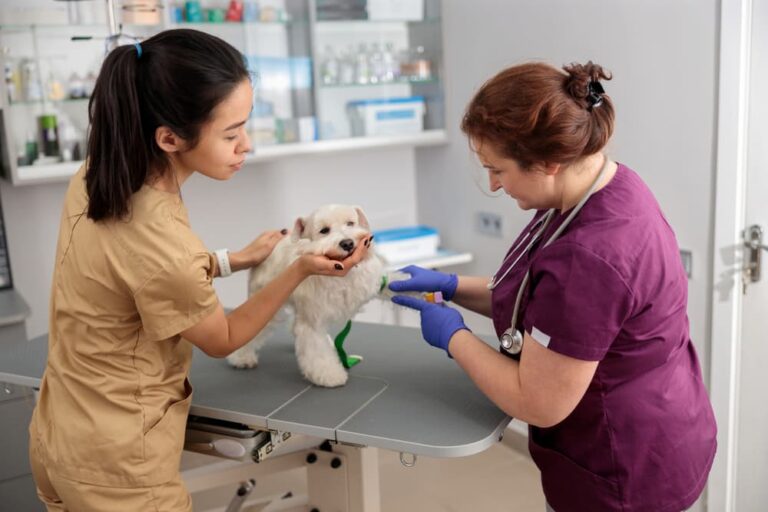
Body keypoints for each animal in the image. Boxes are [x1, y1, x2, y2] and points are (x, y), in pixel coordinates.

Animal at [225, 206, 400, 386]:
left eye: (350, 223)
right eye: (324, 230)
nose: (347, 243)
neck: (345, 276)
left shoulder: (376, 281)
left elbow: (395, 283)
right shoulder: (312, 322)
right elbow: (318, 352)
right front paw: (330, 375)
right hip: (266, 305)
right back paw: (241, 357)